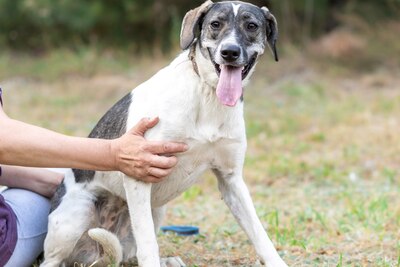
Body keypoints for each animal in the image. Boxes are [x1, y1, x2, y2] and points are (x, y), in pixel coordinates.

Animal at [41, 1, 288, 266]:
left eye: (251, 26)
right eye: (215, 24)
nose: (229, 52)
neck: (207, 94)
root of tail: (96, 256)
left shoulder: (231, 179)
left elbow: (259, 234)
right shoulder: (139, 174)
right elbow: (148, 244)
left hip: (155, 210)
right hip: (74, 218)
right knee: (53, 259)